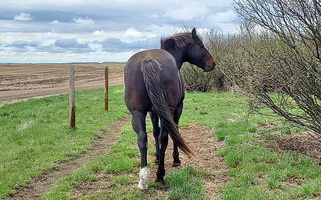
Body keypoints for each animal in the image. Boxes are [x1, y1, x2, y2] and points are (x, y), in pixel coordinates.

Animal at [124, 28, 214, 189]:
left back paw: (143, 179)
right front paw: (176, 159)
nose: (213, 63)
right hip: (169, 110)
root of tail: (148, 62)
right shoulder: (177, 109)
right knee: (164, 137)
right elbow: (175, 131)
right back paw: (160, 175)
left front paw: (157, 157)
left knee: (142, 138)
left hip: (137, 113)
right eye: (201, 45)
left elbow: (155, 132)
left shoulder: (153, 112)